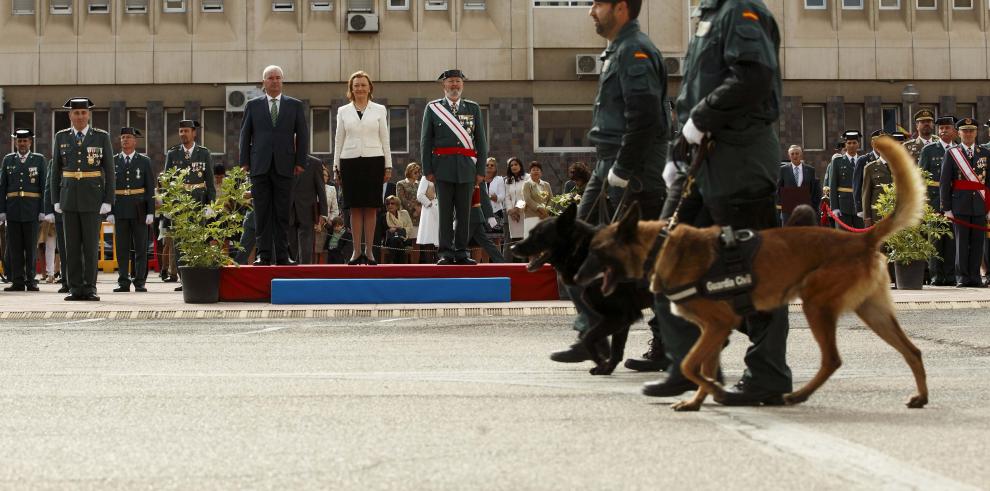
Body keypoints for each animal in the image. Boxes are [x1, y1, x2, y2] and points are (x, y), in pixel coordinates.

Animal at [512, 205, 660, 376]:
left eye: (538, 234)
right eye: (530, 233)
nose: (512, 247)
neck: (582, 250)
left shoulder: (619, 316)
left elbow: (588, 338)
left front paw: (601, 363)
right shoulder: (624, 318)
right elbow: (616, 350)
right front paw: (607, 368)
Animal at [572, 137, 928, 412]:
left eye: (596, 251)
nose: (575, 280)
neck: (660, 245)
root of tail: (860, 238)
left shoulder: (718, 324)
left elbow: (690, 364)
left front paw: (714, 391)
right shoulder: (713, 330)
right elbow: (702, 367)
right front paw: (698, 399)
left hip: (816, 306)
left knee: (832, 360)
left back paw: (796, 395)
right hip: (872, 312)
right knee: (912, 351)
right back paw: (920, 397)